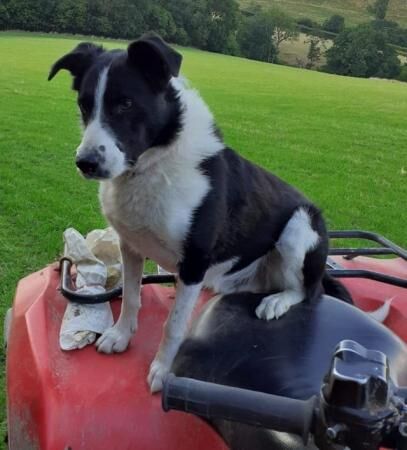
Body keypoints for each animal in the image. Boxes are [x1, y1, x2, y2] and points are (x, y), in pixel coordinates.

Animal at [50, 33, 350, 392]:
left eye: (125, 104)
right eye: (84, 105)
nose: (86, 163)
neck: (153, 164)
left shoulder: (194, 261)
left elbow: (174, 324)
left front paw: (163, 370)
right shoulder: (131, 246)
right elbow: (132, 296)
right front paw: (121, 336)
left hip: (299, 227)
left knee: (308, 292)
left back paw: (277, 301)